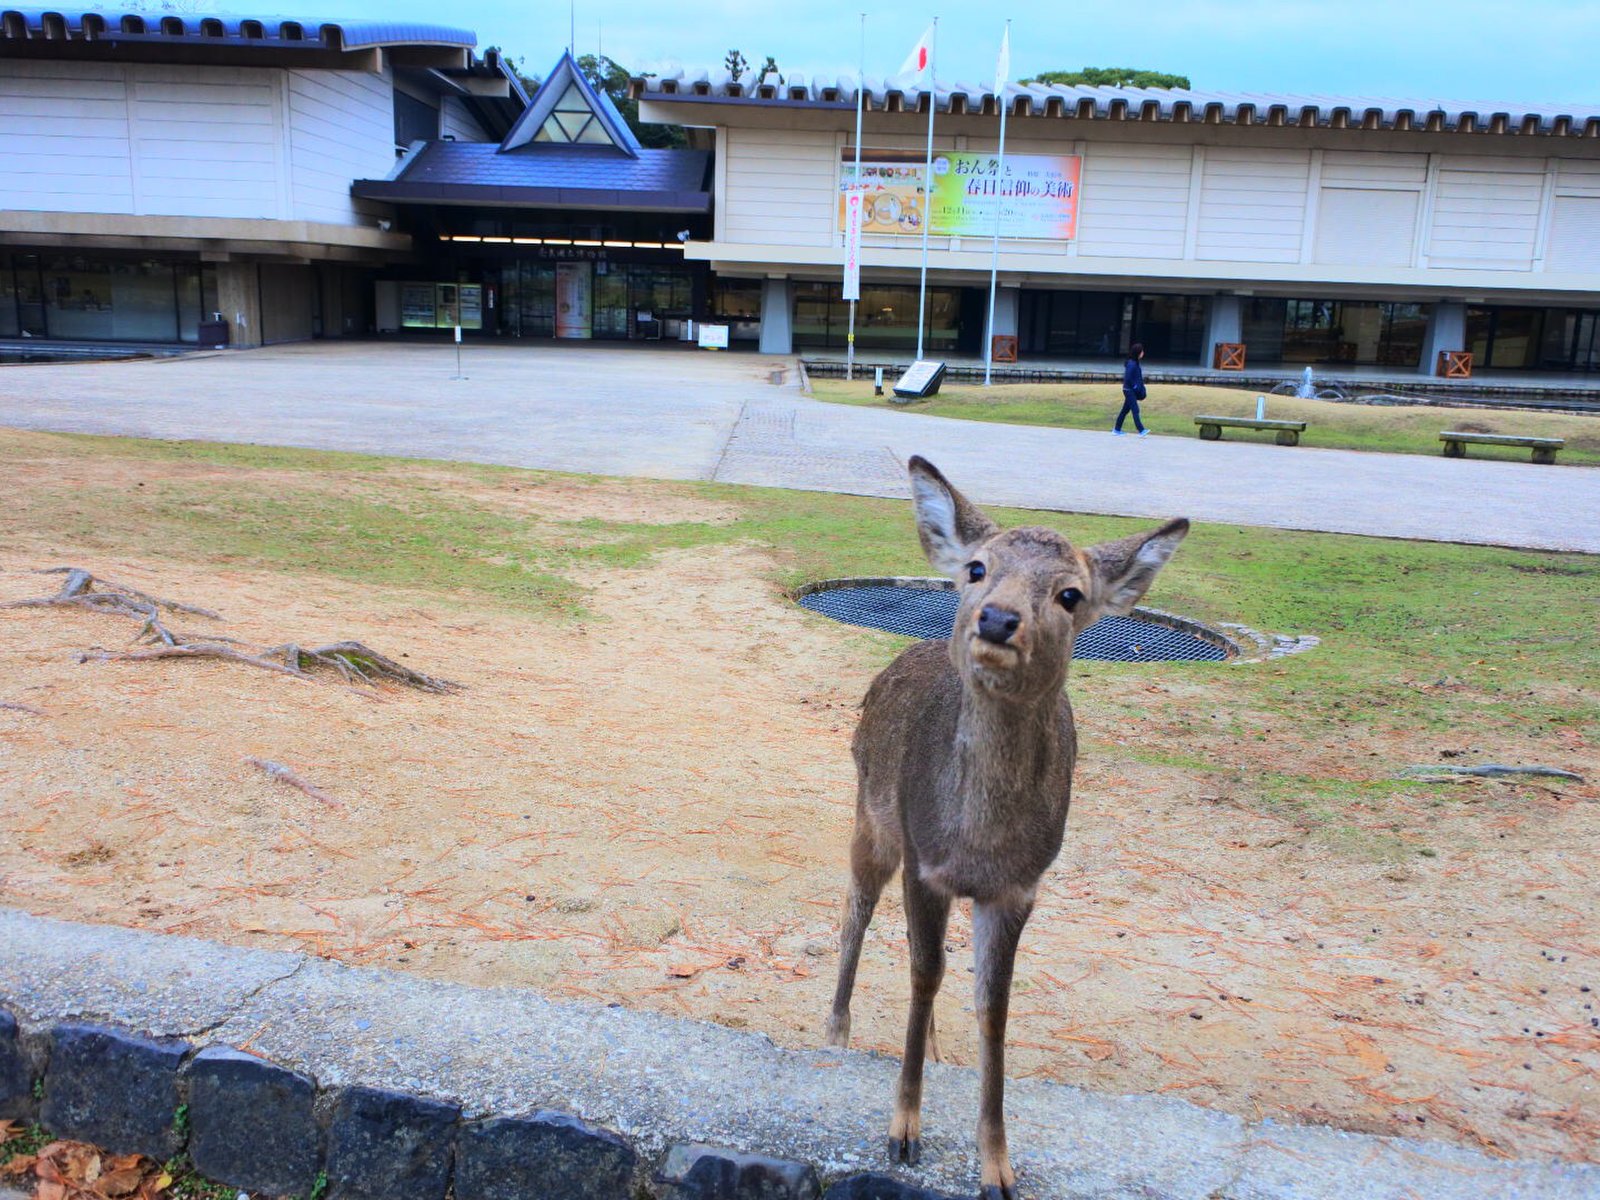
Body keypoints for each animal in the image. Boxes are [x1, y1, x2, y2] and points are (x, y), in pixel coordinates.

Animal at [825, 454, 1190, 1196]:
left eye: (1072, 594)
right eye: (977, 567)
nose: (996, 619)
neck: (979, 844)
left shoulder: (1019, 888)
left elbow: (992, 1005)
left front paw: (997, 1166)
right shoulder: (926, 861)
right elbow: (924, 974)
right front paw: (902, 1132)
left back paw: (934, 1048)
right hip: (872, 821)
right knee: (855, 912)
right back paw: (836, 1030)